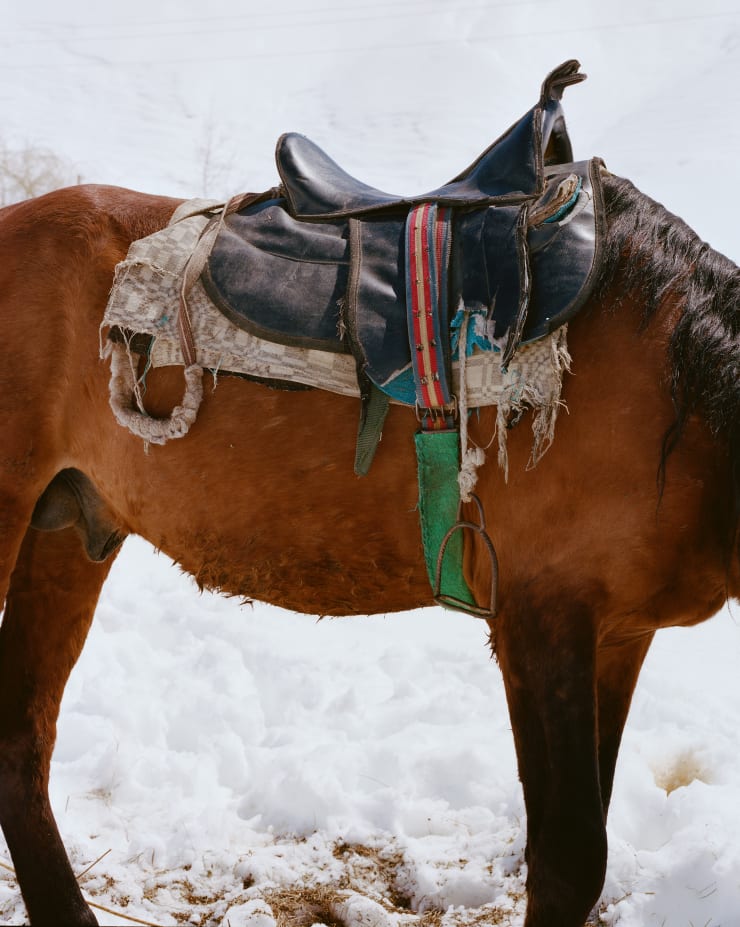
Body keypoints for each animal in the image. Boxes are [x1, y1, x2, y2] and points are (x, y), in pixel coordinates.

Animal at [0, 157, 737, 927]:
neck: (681, 406)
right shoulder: (543, 618)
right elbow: (570, 858)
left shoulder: (620, 635)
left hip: (64, 532)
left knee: (21, 740)